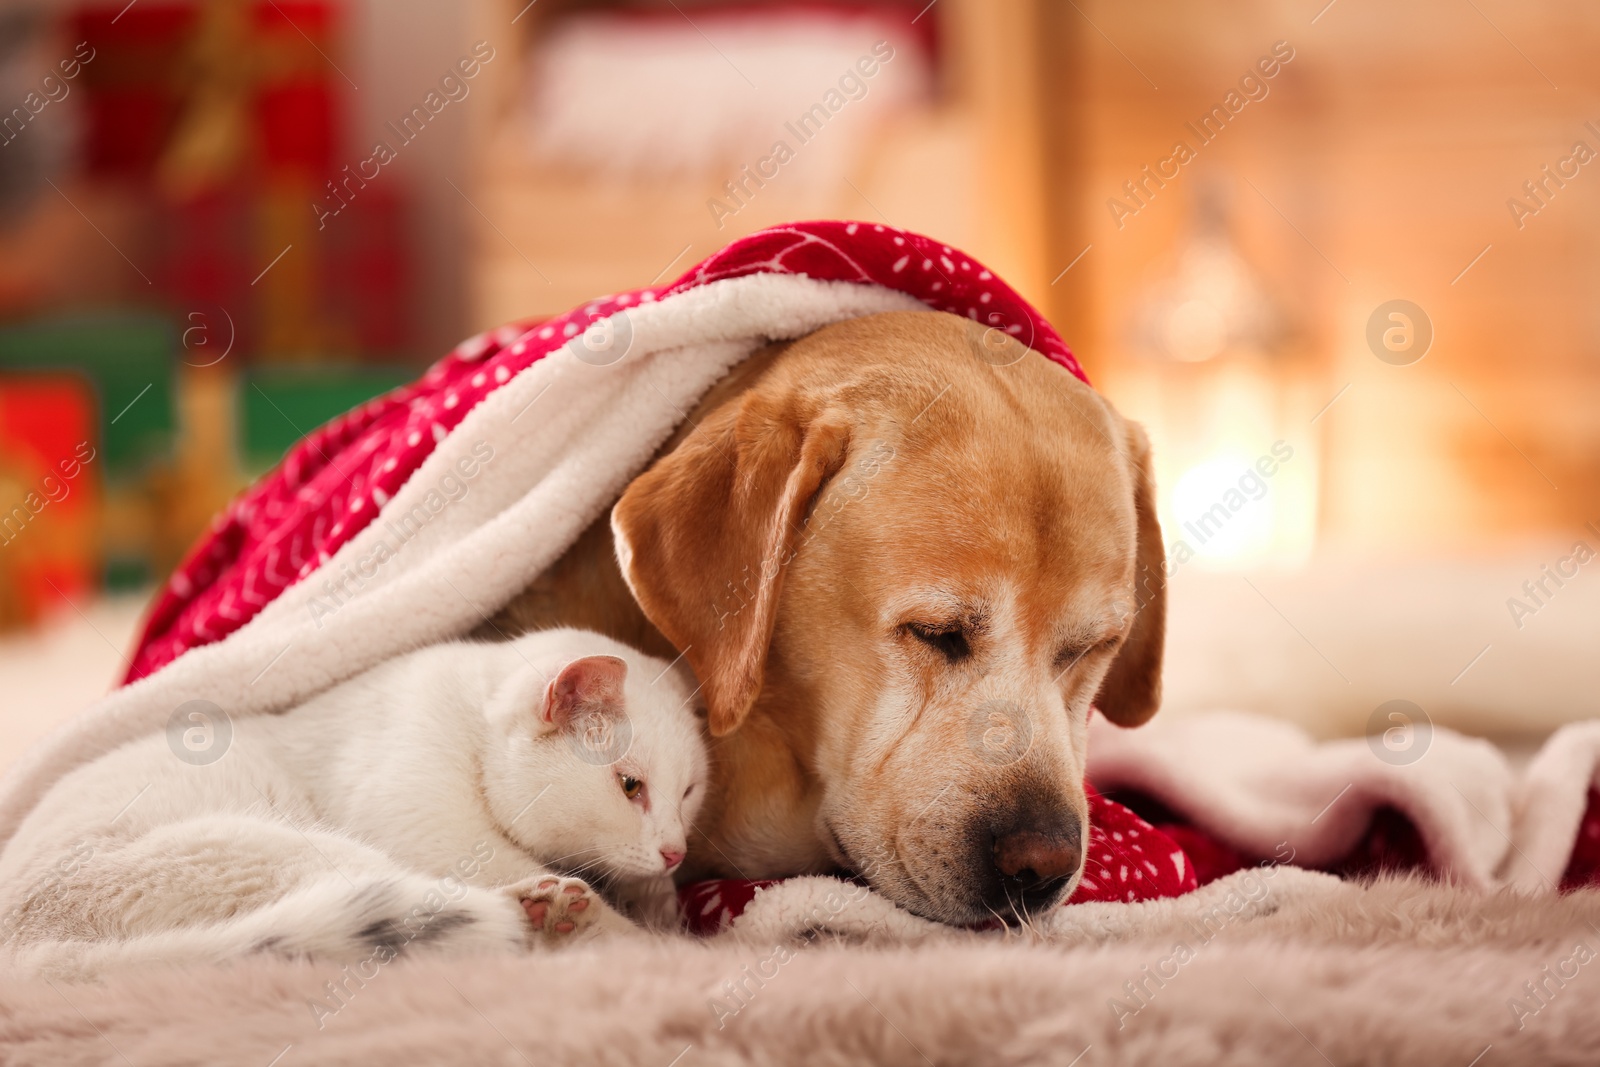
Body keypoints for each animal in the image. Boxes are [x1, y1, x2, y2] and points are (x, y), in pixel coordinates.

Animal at [0, 630, 707, 979]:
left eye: (690, 791)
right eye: (630, 786)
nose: (676, 852)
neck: (469, 725)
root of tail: (30, 955)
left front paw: (660, 908)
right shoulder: (426, 820)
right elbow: (498, 865)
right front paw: (646, 941)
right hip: (273, 849)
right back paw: (544, 909)